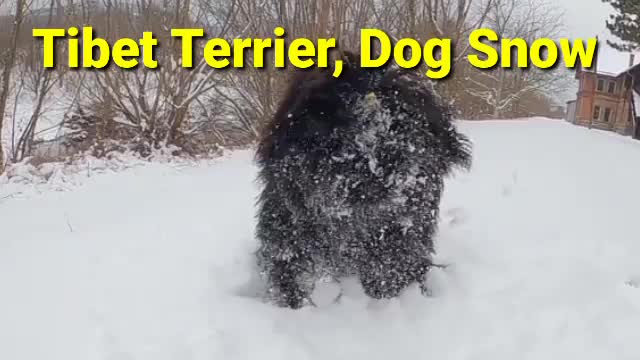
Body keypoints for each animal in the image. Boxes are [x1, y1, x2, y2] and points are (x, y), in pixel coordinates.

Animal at [254, 52, 470, 308]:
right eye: (344, 124)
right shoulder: (286, 236)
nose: (384, 166)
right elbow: (290, 275)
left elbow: (391, 270)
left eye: (403, 124)